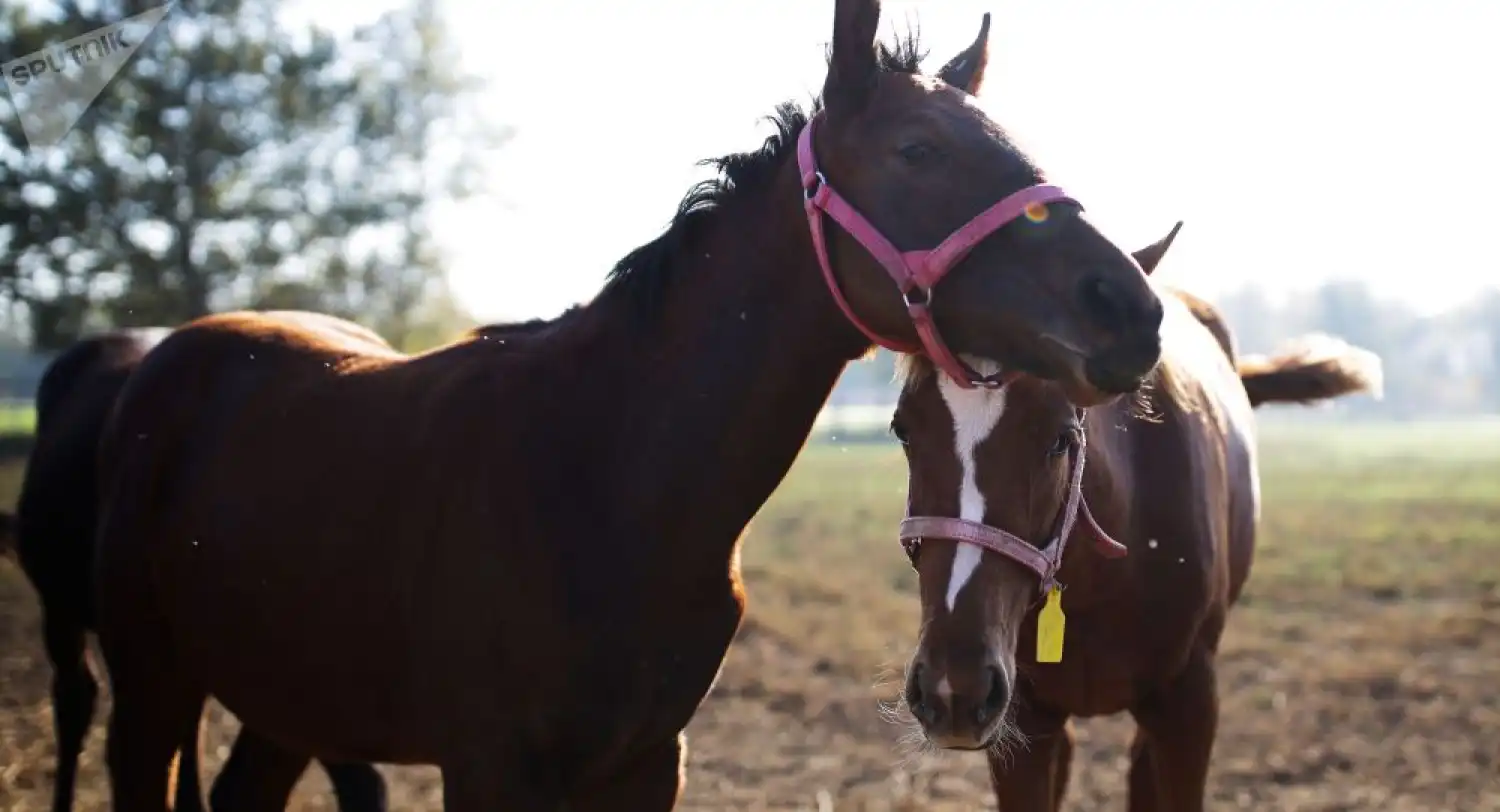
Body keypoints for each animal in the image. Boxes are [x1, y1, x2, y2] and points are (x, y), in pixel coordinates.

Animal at [93, 3, 1176, 804]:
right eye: (918, 150)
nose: (1128, 305)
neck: (607, 474)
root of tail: (166, 358)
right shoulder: (490, 768)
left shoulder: (649, 762)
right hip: (151, 688)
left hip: (283, 701)